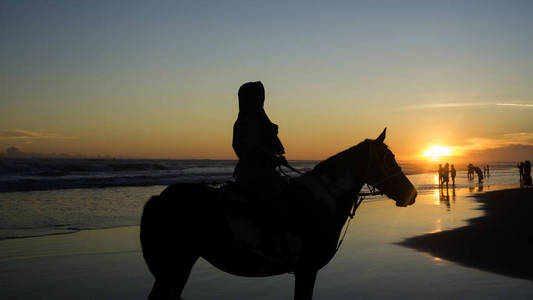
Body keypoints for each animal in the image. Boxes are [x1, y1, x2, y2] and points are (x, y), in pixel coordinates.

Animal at [140, 127, 416, 298]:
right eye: (387, 160)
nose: (411, 194)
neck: (322, 201)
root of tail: (159, 198)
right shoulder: (306, 270)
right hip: (174, 268)